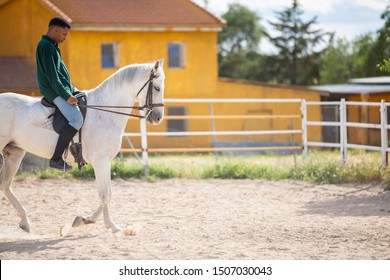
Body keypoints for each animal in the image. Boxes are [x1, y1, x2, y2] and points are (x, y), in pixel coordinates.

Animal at [0, 59, 165, 234]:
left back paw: (24, 222)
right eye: (156, 88)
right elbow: (105, 194)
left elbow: (109, 193)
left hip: (15, 152)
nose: (158, 118)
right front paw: (111, 226)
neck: (104, 112)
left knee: (5, 184)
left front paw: (85, 220)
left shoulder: (105, 161)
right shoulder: (100, 161)